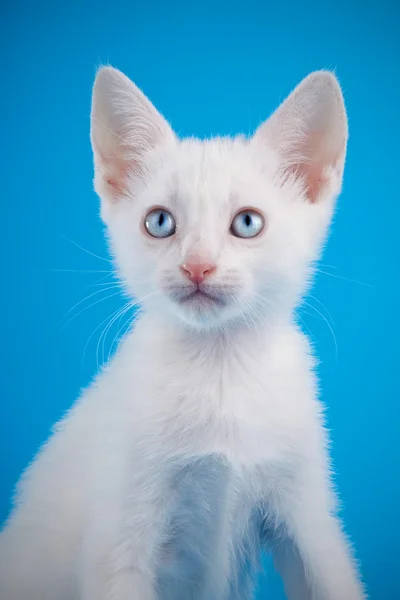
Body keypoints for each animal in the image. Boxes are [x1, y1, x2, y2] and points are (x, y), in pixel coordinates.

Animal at [0, 67, 368, 600]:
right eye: (159, 222)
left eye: (247, 223)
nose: (197, 266)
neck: (219, 369)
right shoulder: (120, 541)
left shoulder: (305, 512)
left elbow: (330, 575)